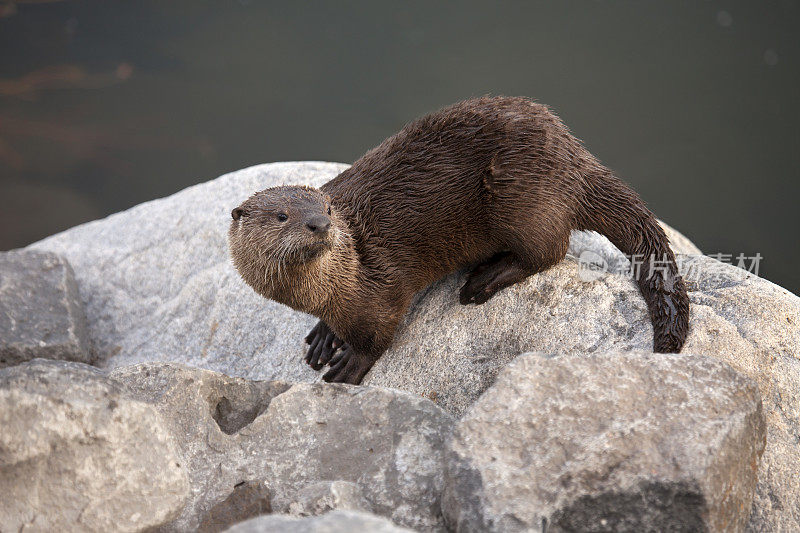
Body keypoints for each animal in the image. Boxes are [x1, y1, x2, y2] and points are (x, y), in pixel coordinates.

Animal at [228, 95, 692, 384]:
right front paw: (325, 335)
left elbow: (377, 335)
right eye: (282, 216)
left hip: (520, 196)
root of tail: (574, 158)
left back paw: (482, 280)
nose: (319, 225)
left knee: (550, 249)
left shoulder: (382, 288)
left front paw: (348, 365)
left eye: (325, 209)